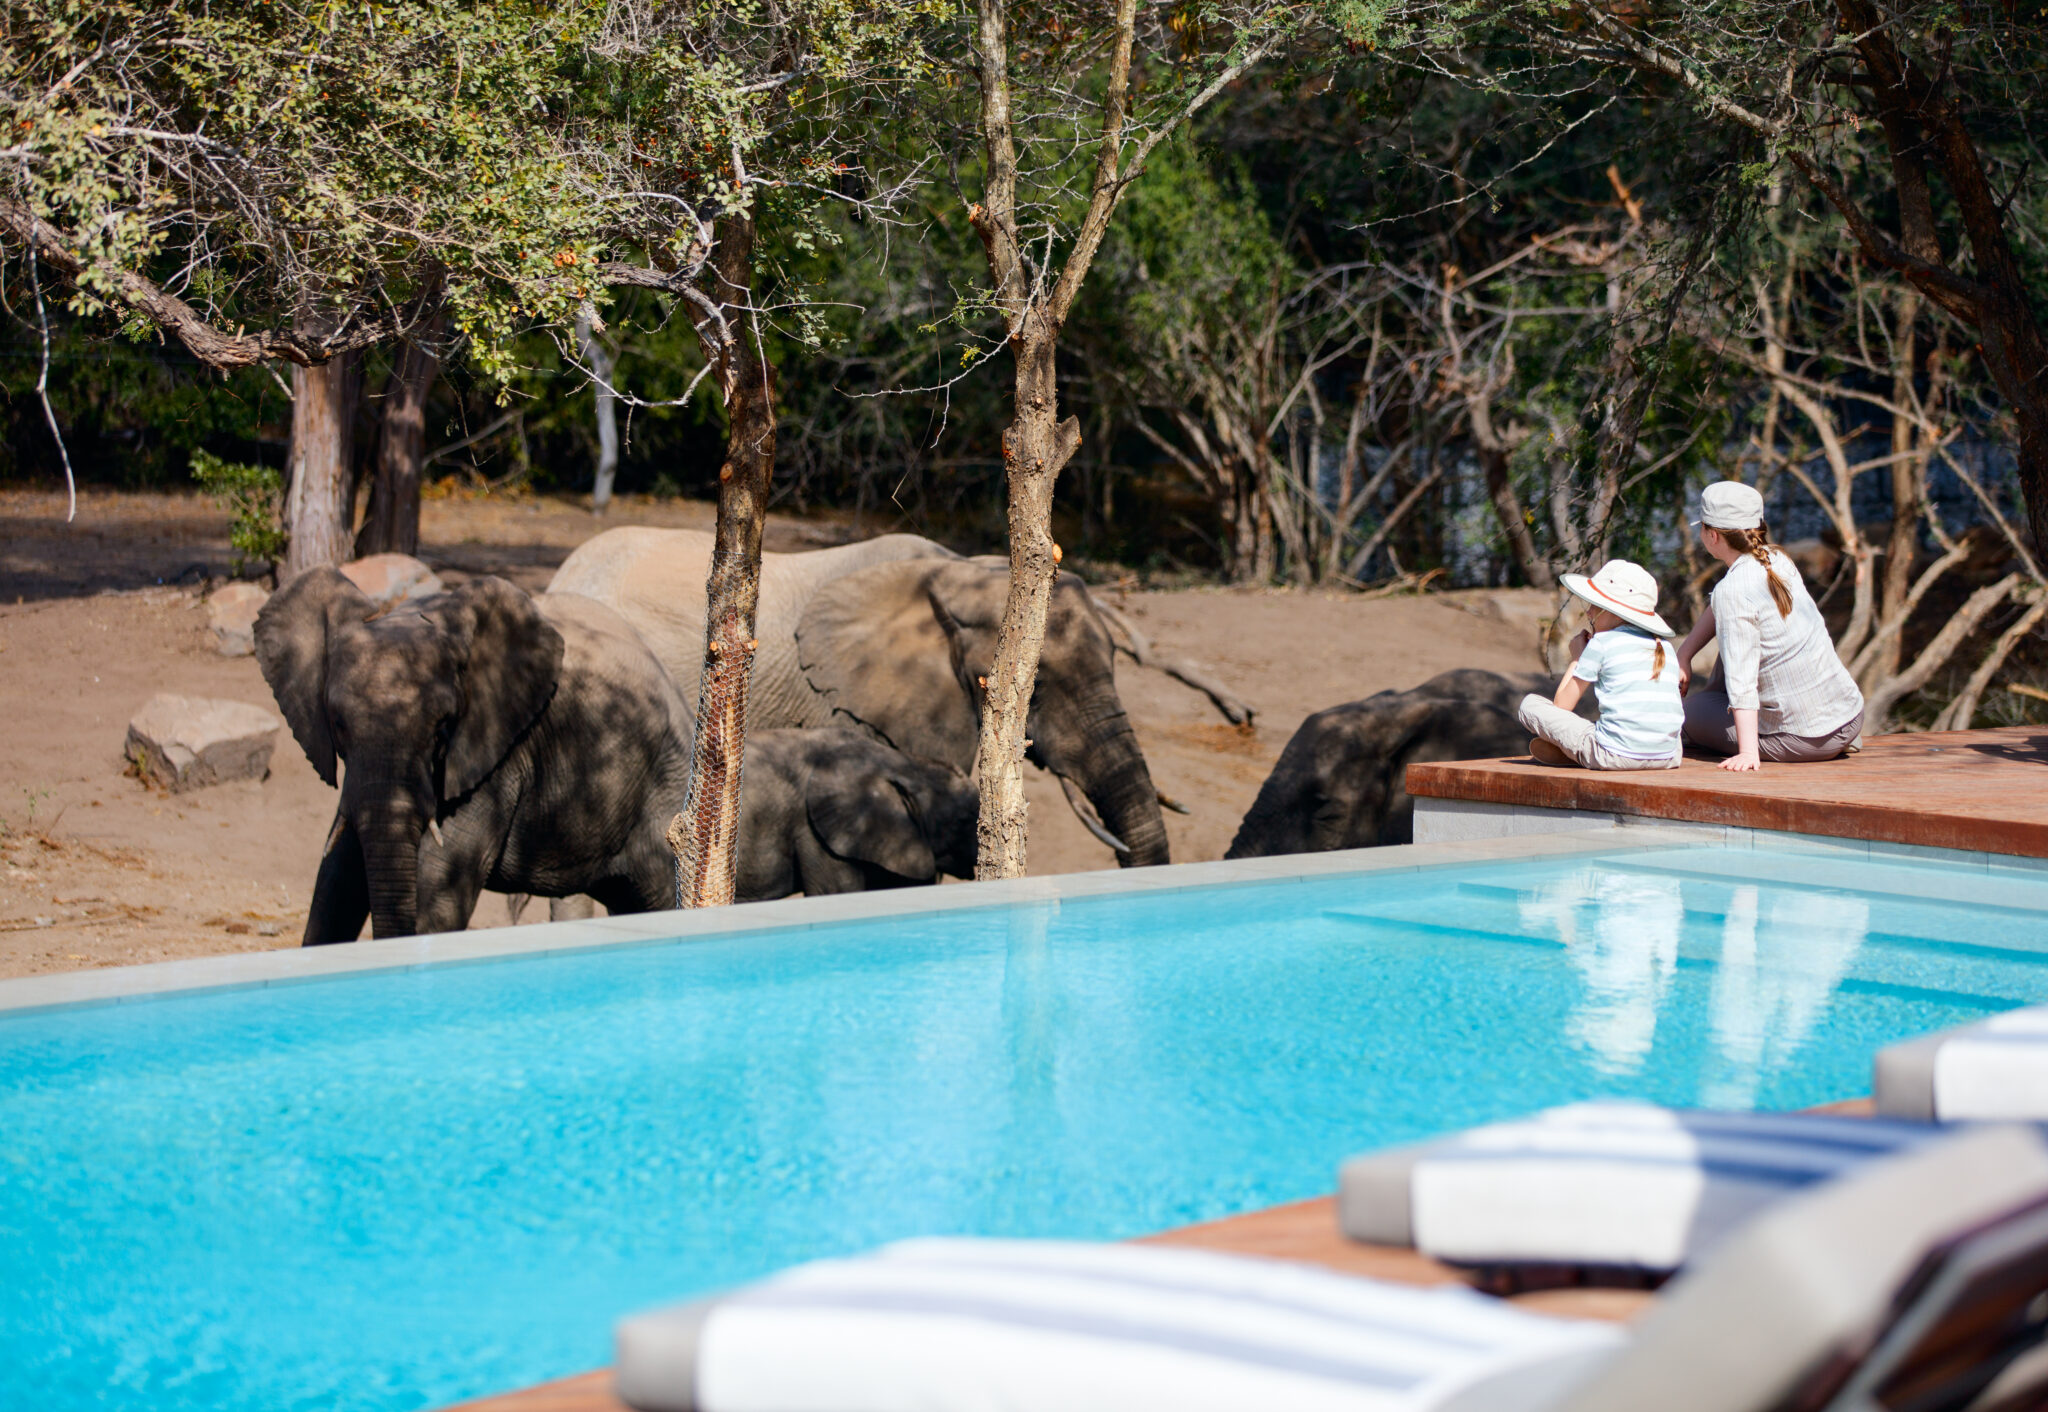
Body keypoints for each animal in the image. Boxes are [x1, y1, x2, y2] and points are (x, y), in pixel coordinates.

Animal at [252, 565, 688, 942]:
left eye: (443, 727)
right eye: (338, 723)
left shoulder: (496, 756)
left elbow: (439, 895)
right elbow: (335, 882)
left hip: (664, 791)